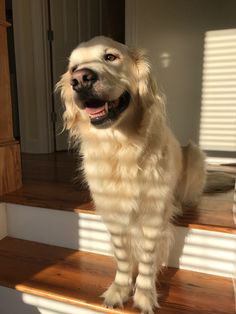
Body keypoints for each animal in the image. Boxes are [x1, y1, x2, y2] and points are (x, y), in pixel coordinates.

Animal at [56, 37, 206, 314]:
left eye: (111, 57)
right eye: (73, 69)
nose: (80, 79)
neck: (120, 148)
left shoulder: (153, 215)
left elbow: (146, 261)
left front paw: (144, 295)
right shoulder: (113, 214)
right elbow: (123, 258)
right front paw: (120, 289)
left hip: (195, 153)